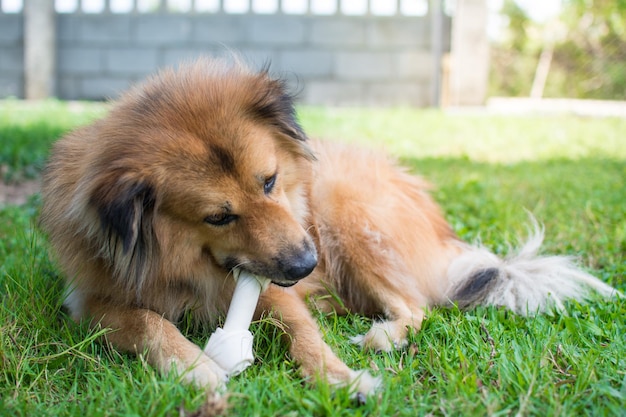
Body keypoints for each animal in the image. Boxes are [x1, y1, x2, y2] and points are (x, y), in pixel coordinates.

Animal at [39, 57, 616, 394]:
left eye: (270, 181)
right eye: (219, 216)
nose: (306, 264)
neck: (184, 262)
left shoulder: (274, 286)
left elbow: (304, 332)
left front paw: (340, 377)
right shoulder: (93, 302)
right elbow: (148, 322)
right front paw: (194, 368)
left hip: (345, 214)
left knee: (418, 306)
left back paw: (382, 337)